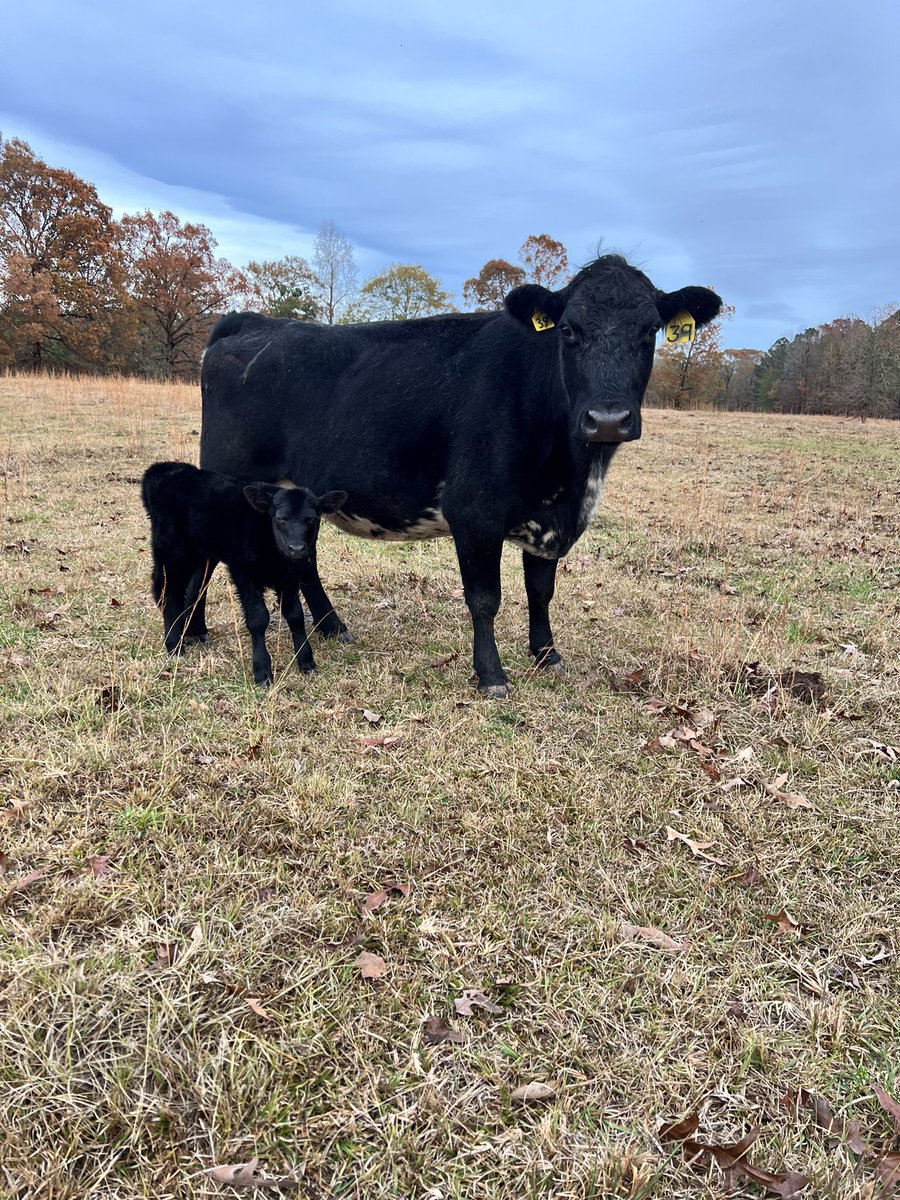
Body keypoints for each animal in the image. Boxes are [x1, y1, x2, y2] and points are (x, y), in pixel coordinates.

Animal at [141, 461, 346, 684]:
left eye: (313, 519)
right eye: (279, 519)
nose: (297, 548)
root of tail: (162, 468)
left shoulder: (289, 578)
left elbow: (295, 616)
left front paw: (306, 661)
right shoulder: (243, 573)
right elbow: (258, 619)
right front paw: (262, 671)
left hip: (198, 553)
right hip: (171, 551)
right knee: (169, 593)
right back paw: (174, 645)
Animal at [192, 254, 721, 697]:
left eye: (650, 330)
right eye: (569, 330)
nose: (607, 418)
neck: (570, 481)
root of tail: (251, 323)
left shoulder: (548, 517)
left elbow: (541, 590)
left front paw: (547, 654)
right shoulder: (475, 511)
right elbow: (485, 598)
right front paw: (491, 674)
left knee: (304, 559)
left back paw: (331, 627)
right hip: (226, 479)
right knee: (206, 555)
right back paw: (192, 633)